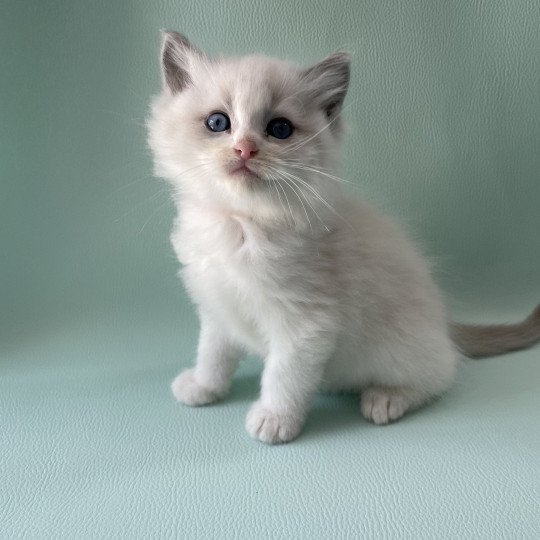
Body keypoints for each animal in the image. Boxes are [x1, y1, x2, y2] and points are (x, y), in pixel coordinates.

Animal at [147, 32, 540, 442]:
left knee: (440, 374)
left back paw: (386, 398)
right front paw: (203, 387)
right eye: (217, 122)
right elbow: (213, 354)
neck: (242, 224)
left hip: (399, 349)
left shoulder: (306, 325)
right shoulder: (218, 308)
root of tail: (444, 326)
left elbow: (283, 377)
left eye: (279, 129)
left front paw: (275, 419)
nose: (245, 149)